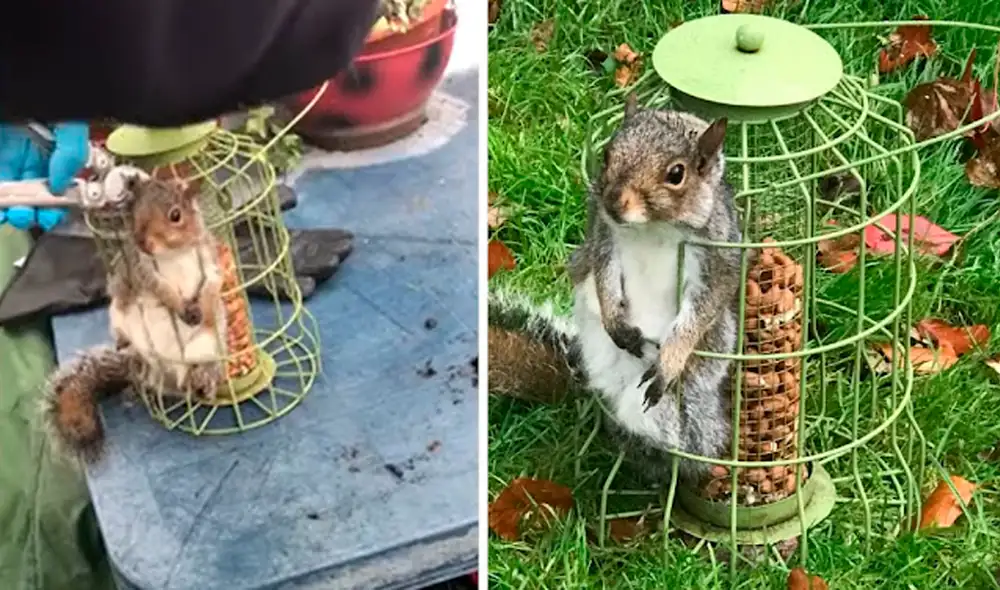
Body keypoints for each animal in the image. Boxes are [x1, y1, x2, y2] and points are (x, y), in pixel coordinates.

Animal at [43, 172, 227, 463]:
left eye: (176, 215)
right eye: (134, 213)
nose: (142, 241)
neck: (173, 254)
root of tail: (157, 371)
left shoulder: (209, 261)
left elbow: (210, 286)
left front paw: (201, 308)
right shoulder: (144, 271)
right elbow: (163, 291)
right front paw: (180, 306)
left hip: (207, 347)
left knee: (194, 375)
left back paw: (201, 380)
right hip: (118, 313)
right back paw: (124, 344)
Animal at [489, 96, 743, 484]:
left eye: (677, 174)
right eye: (608, 154)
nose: (613, 200)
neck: (652, 228)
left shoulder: (715, 257)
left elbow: (702, 310)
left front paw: (671, 358)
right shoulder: (604, 238)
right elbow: (603, 277)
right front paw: (615, 323)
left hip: (681, 401)